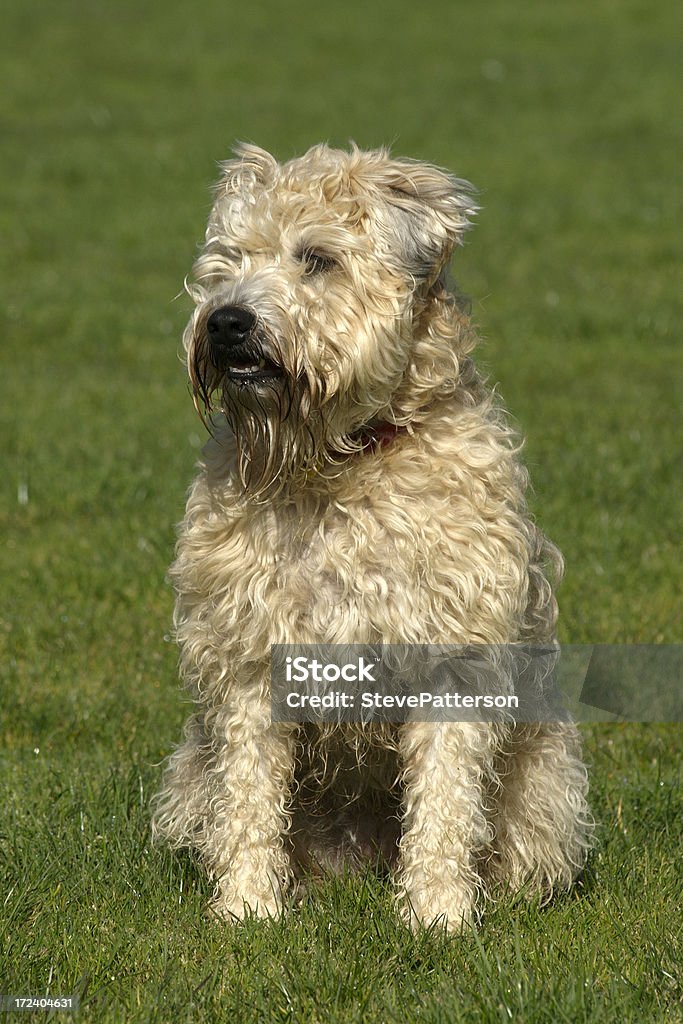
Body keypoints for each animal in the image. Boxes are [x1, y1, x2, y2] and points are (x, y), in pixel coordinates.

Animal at [150, 144, 593, 937]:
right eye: (228, 259)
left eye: (318, 259)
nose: (226, 321)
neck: (342, 461)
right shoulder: (252, 655)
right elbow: (250, 798)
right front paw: (247, 908)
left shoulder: (452, 656)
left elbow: (445, 802)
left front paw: (438, 915)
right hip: (191, 772)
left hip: (545, 784)